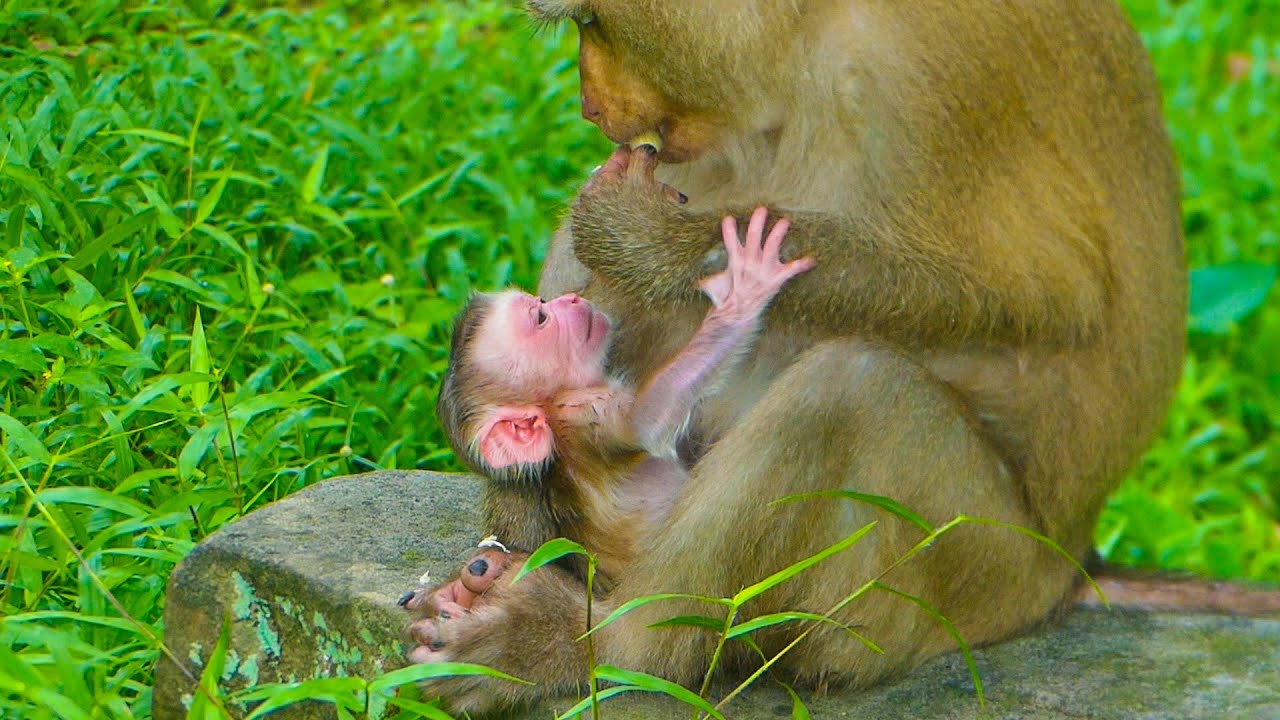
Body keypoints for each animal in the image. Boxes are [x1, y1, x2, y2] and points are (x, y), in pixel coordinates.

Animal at [424, 207, 813, 587]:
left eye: (542, 302)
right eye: (541, 316)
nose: (571, 298)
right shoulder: (584, 413)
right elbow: (646, 423)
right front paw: (741, 295)